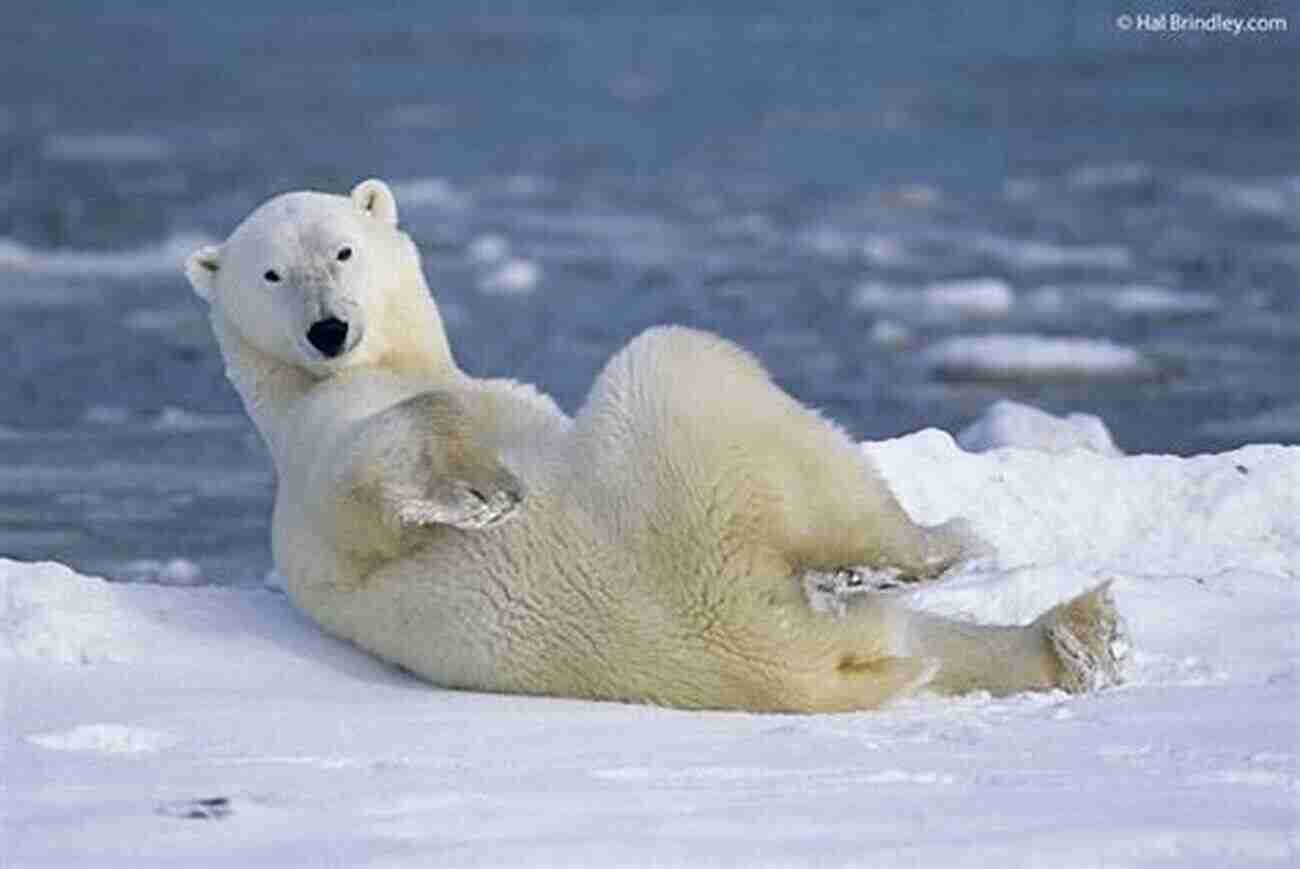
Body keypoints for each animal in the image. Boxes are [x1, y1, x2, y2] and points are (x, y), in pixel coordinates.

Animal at [185, 179, 1128, 707]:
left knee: (920, 637)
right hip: (678, 498)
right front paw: (482, 490)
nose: (328, 328)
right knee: (702, 369)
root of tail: (773, 658)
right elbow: (369, 488)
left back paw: (1080, 637)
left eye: (344, 249)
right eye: (272, 272)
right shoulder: (319, 462)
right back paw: (931, 549)